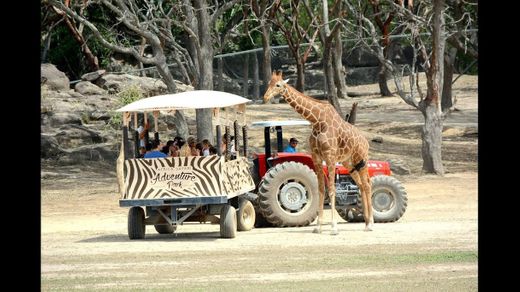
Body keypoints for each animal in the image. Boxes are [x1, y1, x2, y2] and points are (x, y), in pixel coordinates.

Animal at [264, 71, 374, 235]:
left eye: (278, 85)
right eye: (268, 83)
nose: (265, 97)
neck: (317, 121)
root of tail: (366, 142)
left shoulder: (329, 156)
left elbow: (332, 189)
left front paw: (334, 227)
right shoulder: (316, 157)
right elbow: (321, 190)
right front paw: (318, 227)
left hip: (361, 160)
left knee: (367, 185)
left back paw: (371, 223)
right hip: (349, 163)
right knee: (361, 184)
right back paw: (366, 223)